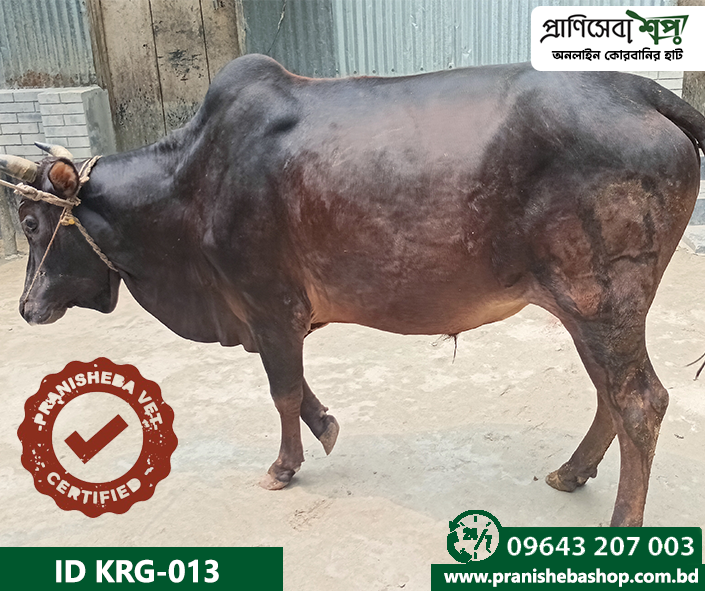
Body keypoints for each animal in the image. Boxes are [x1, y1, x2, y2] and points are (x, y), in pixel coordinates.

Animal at [2, 55, 704, 527]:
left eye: (32, 223)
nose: (28, 308)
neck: (188, 184)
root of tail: (635, 86)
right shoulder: (267, 316)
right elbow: (296, 389)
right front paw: (327, 427)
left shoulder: (268, 304)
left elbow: (283, 391)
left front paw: (284, 465)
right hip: (590, 309)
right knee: (611, 395)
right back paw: (571, 472)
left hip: (601, 301)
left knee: (639, 402)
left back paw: (621, 523)